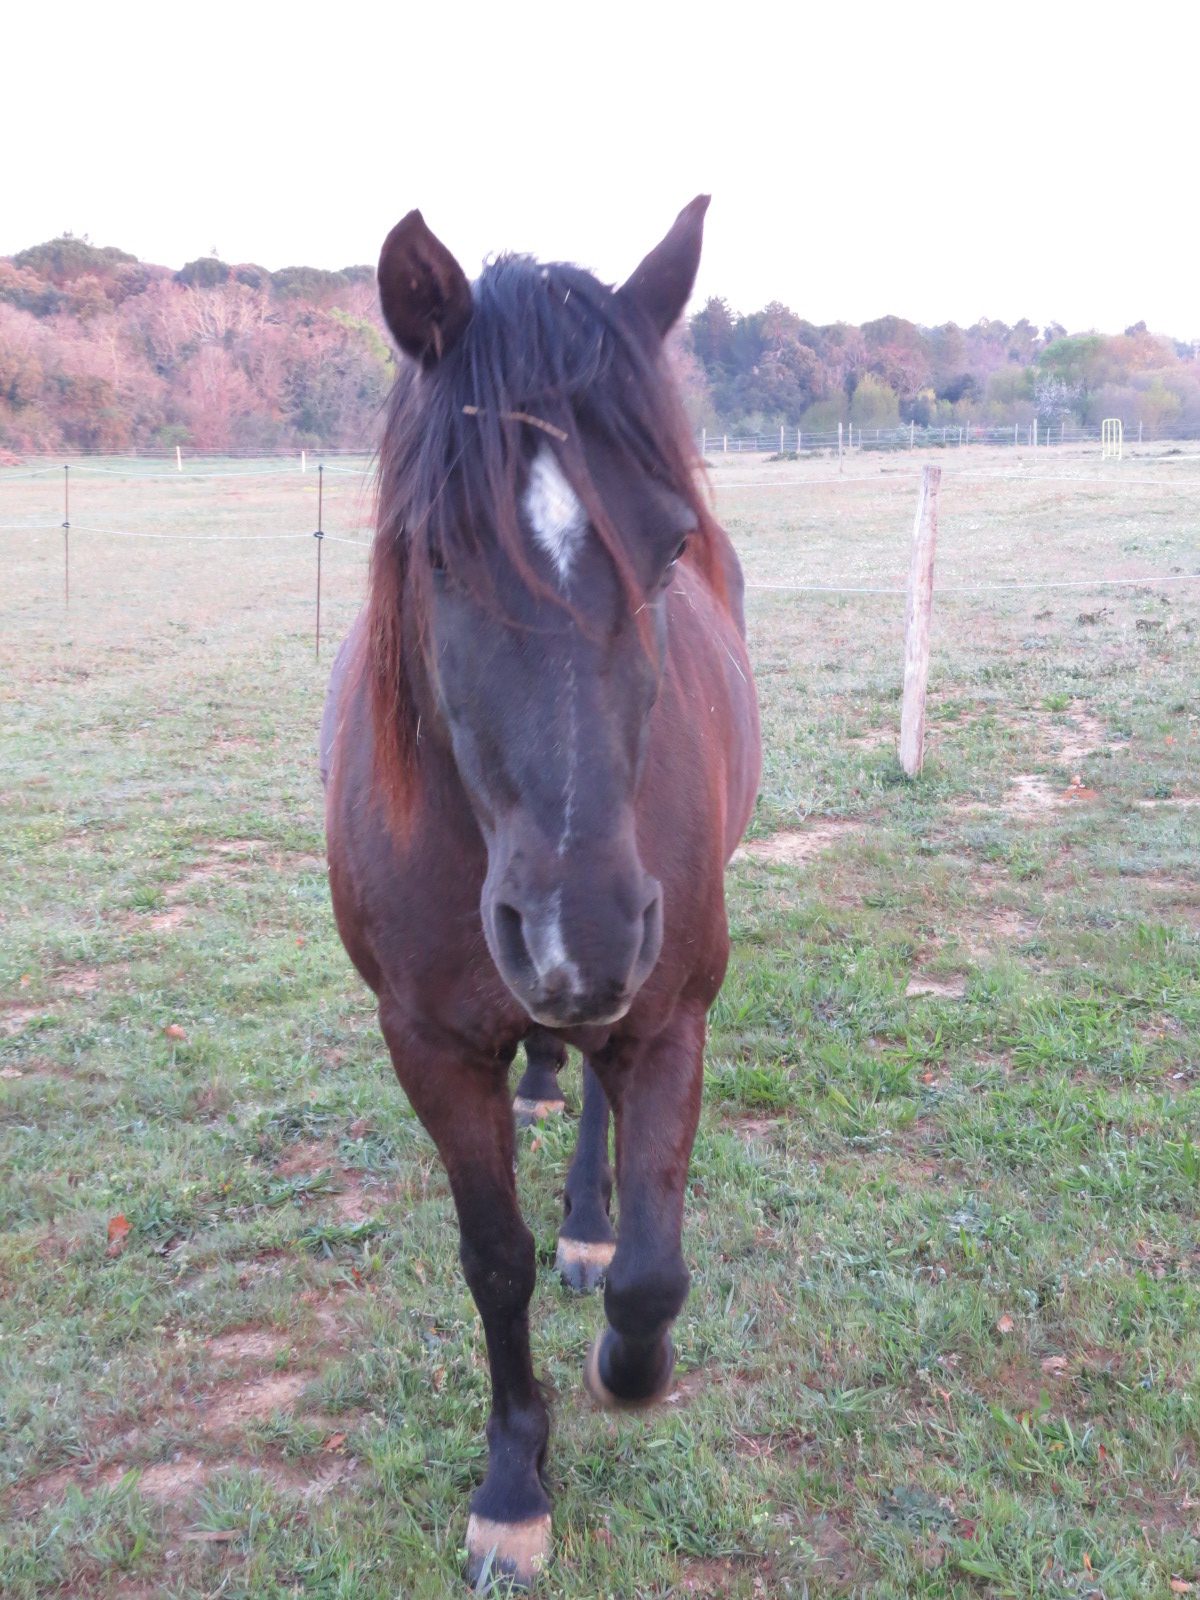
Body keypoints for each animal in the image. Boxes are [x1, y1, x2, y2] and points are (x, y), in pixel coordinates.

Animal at [321, 196, 761, 1588]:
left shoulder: (670, 1016)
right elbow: (494, 1262)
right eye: (435, 550)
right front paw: (516, 1478)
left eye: (668, 546)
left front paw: (625, 1365)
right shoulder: (428, 1042)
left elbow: (655, 1273)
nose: (584, 931)